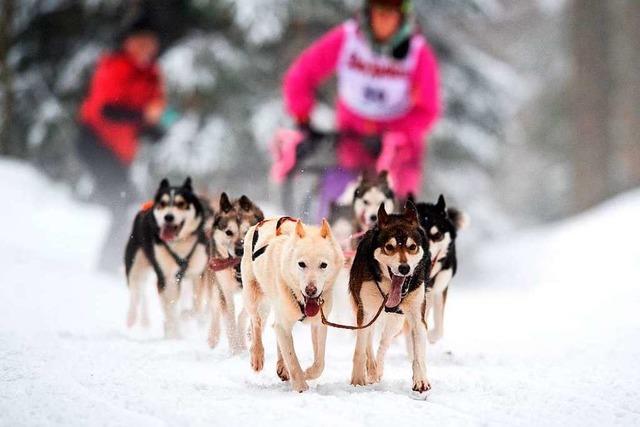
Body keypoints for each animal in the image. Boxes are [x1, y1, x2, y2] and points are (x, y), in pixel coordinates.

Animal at [124, 177, 206, 338]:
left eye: (181, 203)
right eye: (162, 203)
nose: (168, 217)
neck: (179, 244)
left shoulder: (198, 274)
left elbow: (197, 306)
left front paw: (187, 317)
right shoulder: (165, 278)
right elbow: (170, 308)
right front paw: (174, 334)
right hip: (136, 267)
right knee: (136, 294)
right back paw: (132, 318)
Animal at [206, 193, 264, 352]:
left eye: (247, 231)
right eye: (228, 232)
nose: (239, 249)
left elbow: (246, 315)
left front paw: (248, 335)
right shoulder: (225, 291)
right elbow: (230, 320)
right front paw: (235, 350)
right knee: (215, 309)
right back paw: (213, 337)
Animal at [242, 219, 344, 392]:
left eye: (323, 265)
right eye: (301, 264)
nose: (311, 290)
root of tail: (265, 221)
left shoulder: (319, 324)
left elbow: (320, 363)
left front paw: (307, 373)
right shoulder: (283, 324)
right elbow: (293, 360)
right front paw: (301, 387)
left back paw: (282, 366)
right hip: (254, 296)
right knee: (256, 323)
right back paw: (257, 355)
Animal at [348, 202, 432, 392]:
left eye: (412, 247)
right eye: (389, 247)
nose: (404, 268)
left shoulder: (417, 317)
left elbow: (419, 354)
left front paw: (420, 380)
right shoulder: (364, 312)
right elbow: (360, 349)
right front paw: (358, 379)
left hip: (396, 321)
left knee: (383, 343)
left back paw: (377, 369)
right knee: (368, 341)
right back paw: (371, 369)